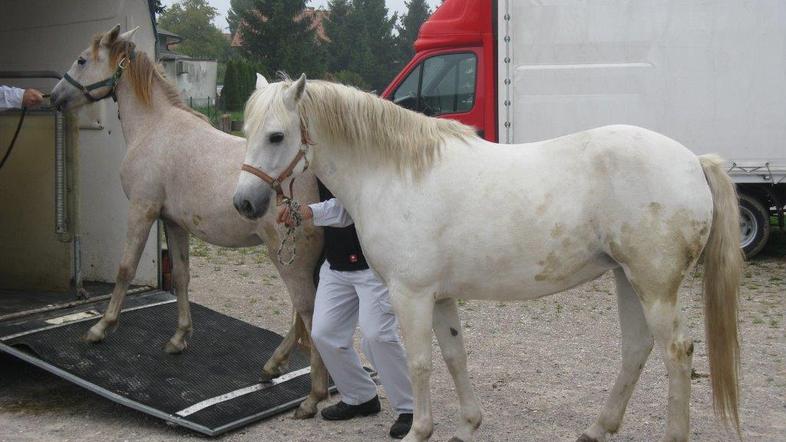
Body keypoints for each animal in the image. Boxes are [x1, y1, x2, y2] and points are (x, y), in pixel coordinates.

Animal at [50, 25, 328, 420]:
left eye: (82, 60)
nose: (55, 96)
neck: (154, 127)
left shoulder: (142, 210)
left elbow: (125, 269)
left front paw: (101, 327)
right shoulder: (174, 222)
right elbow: (181, 276)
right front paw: (180, 337)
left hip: (291, 259)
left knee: (306, 310)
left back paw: (313, 393)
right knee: (300, 315)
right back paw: (273, 366)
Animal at [233, 76, 740, 442]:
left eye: (276, 136)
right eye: (246, 132)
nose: (244, 202)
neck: (396, 173)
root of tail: (693, 161)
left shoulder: (411, 294)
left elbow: (420, 362)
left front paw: (419, 431)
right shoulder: (439, 296)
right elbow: (454, 356)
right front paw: (467, 425)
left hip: (655, 287)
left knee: (677, 353)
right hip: (626, 278)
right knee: (636, 349)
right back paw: (598, 428)